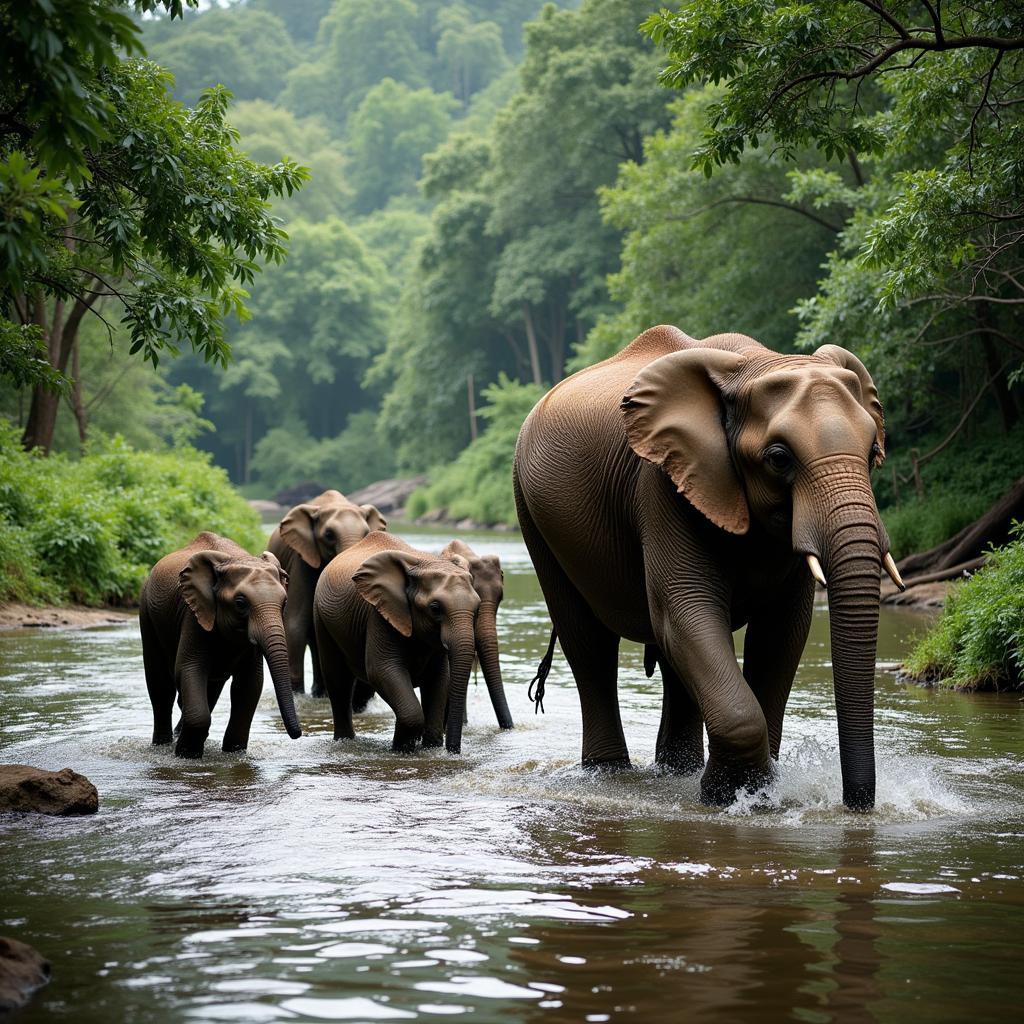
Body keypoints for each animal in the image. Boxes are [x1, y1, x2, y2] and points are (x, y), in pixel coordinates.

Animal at [138, 532, 301, 757]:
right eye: (240, 603)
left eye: (284, 603)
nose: (298, 735)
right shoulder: (194, 614)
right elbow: (189, 669)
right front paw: (187, 755)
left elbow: (249, 685)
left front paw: (234, 752)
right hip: (147, 613)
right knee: (161, 687)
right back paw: (162, 744)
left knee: (209, 690)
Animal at [268, 487, 387, 696]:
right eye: (329, 535)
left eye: (367, 533)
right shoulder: (302, 559)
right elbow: (294, 622)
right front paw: (297, 694)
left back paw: (321, 693)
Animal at [516, 323, 901, 811]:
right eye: (779, 458)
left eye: (872, 452)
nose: (857, 805)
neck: (756, 363)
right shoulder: (661, 482)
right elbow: (688, 609)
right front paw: (727, 795)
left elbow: (782, 631)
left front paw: (756, 792)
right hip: (532, 513)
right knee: (588, 642)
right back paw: (609, 774)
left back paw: (675, 771)